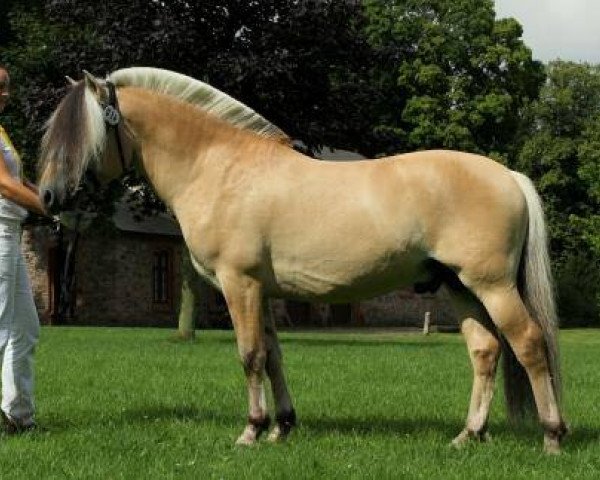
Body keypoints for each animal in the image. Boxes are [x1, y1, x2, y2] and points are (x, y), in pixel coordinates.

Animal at [38, 68, 568, 454]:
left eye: (82, 135)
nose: (47, 196)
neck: (220, 166)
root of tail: (509, 175)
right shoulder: (262, 291)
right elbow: (273, 356)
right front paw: (282, 427)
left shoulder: (239, 284)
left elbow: (250, 355)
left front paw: (251, 430)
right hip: (460, 287)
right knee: (485, 351)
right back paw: (468, 435)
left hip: (493, 285)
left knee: (528, 344)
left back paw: (551, 436)